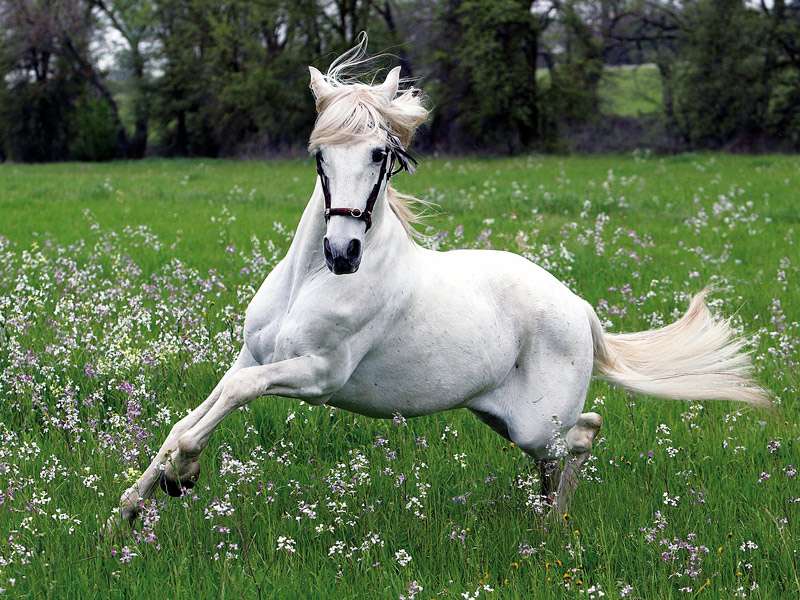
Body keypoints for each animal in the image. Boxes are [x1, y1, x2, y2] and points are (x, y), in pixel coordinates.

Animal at [111, 39, 769, 531]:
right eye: (320, 156)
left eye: (380, 155)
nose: (342, 253)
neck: (310, 282)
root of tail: (579, 306)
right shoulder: (254, 354)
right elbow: (200, 409)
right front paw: (137, 502)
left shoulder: (318, 375)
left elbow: (235, 394)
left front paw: (180, 475)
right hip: (505, 418)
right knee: (566, 448)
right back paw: (543, 519)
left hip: (539, 422)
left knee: (585, 433)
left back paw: (552, 525)